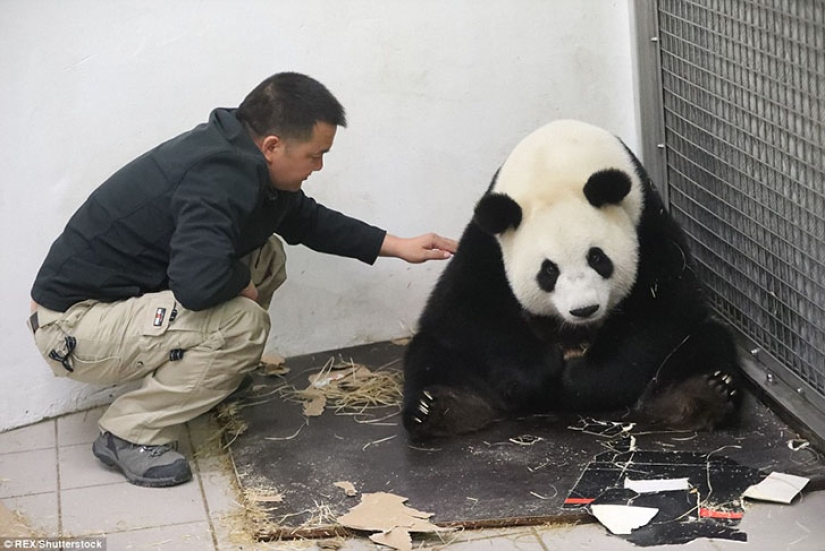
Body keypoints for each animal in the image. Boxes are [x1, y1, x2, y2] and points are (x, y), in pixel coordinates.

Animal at [402, 120, 742, 440]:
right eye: (548, 271)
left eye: (598, 258)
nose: (584, 310)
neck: (555, 164)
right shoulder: (488, 244)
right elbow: (465, 309)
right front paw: (539, 374)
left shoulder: (646, 222)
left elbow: (663, 306)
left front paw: (581, 380)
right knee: (432, 354)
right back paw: (443, 408)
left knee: (706, 341)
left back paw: (700, 395)